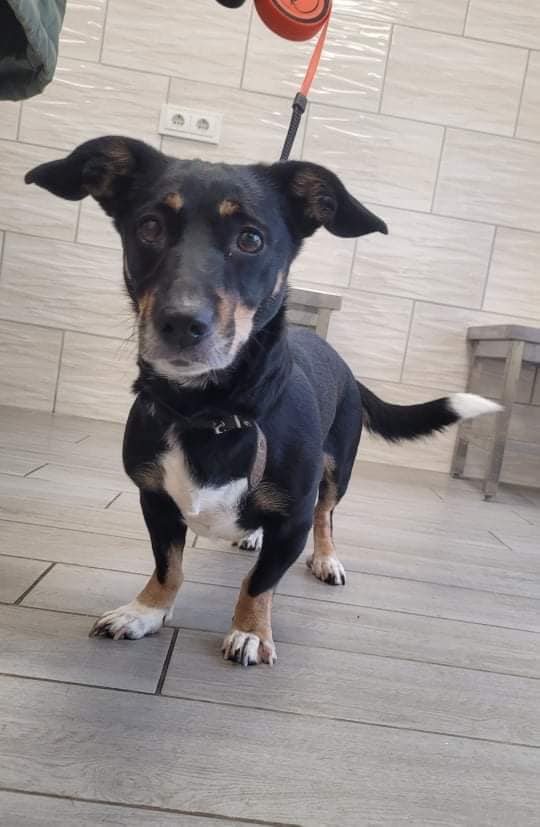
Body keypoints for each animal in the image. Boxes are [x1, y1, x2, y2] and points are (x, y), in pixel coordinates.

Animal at [25, 136, 501, 666]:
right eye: (149, 227)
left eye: (251, 239)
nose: (181, 323)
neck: (210, 413)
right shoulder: (155, 501)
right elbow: (168, 566)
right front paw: (146, 612)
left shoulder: (293, 520)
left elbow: (260, 582)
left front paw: (250, 631)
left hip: (339, 469)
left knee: (327, 516)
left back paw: (326, 559)